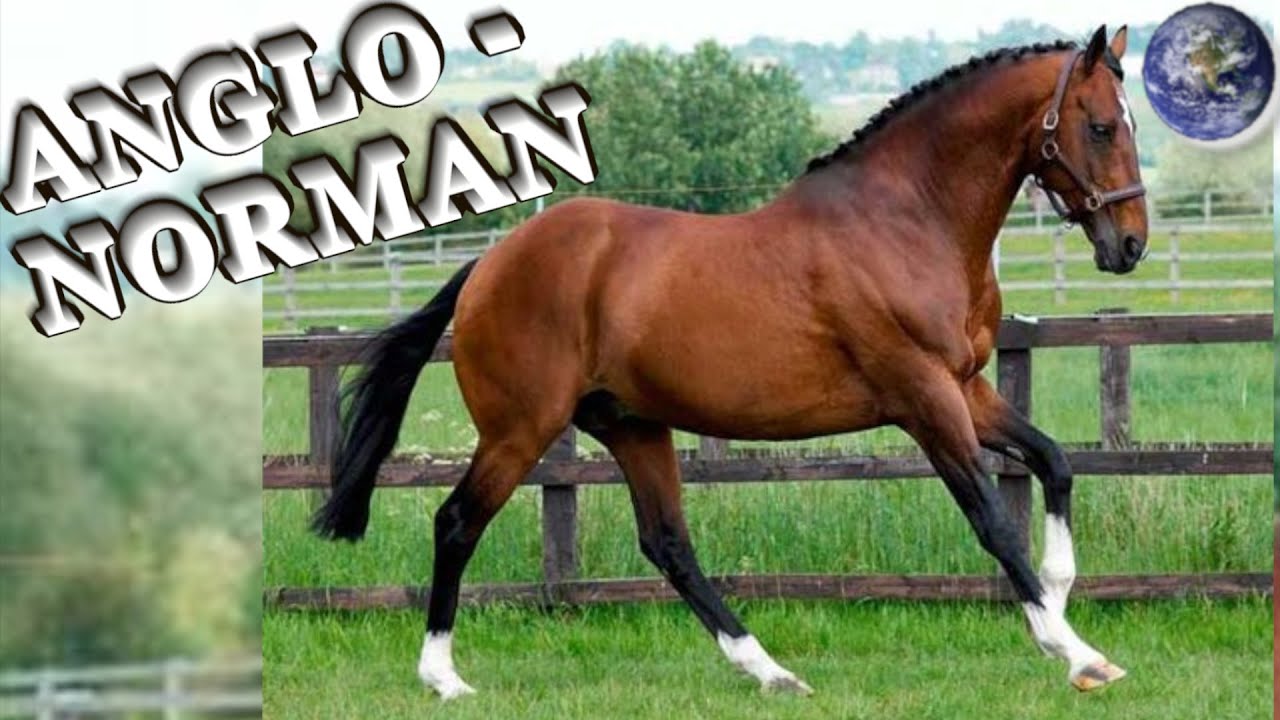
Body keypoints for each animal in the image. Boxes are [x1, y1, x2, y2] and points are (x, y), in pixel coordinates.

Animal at [312, 25, 1147, 699]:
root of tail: (489, 264)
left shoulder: (966, 390)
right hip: (521, 429)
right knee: (457, 522)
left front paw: (1061, 601)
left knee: (668, 545)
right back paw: (443, 677)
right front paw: (1077, 653)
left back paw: (770, 670)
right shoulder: (923, 398)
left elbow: (1054, 462)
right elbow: (992, 520)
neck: (907, 220)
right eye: (1102, 125)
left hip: (631, 424)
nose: (1130, 244)